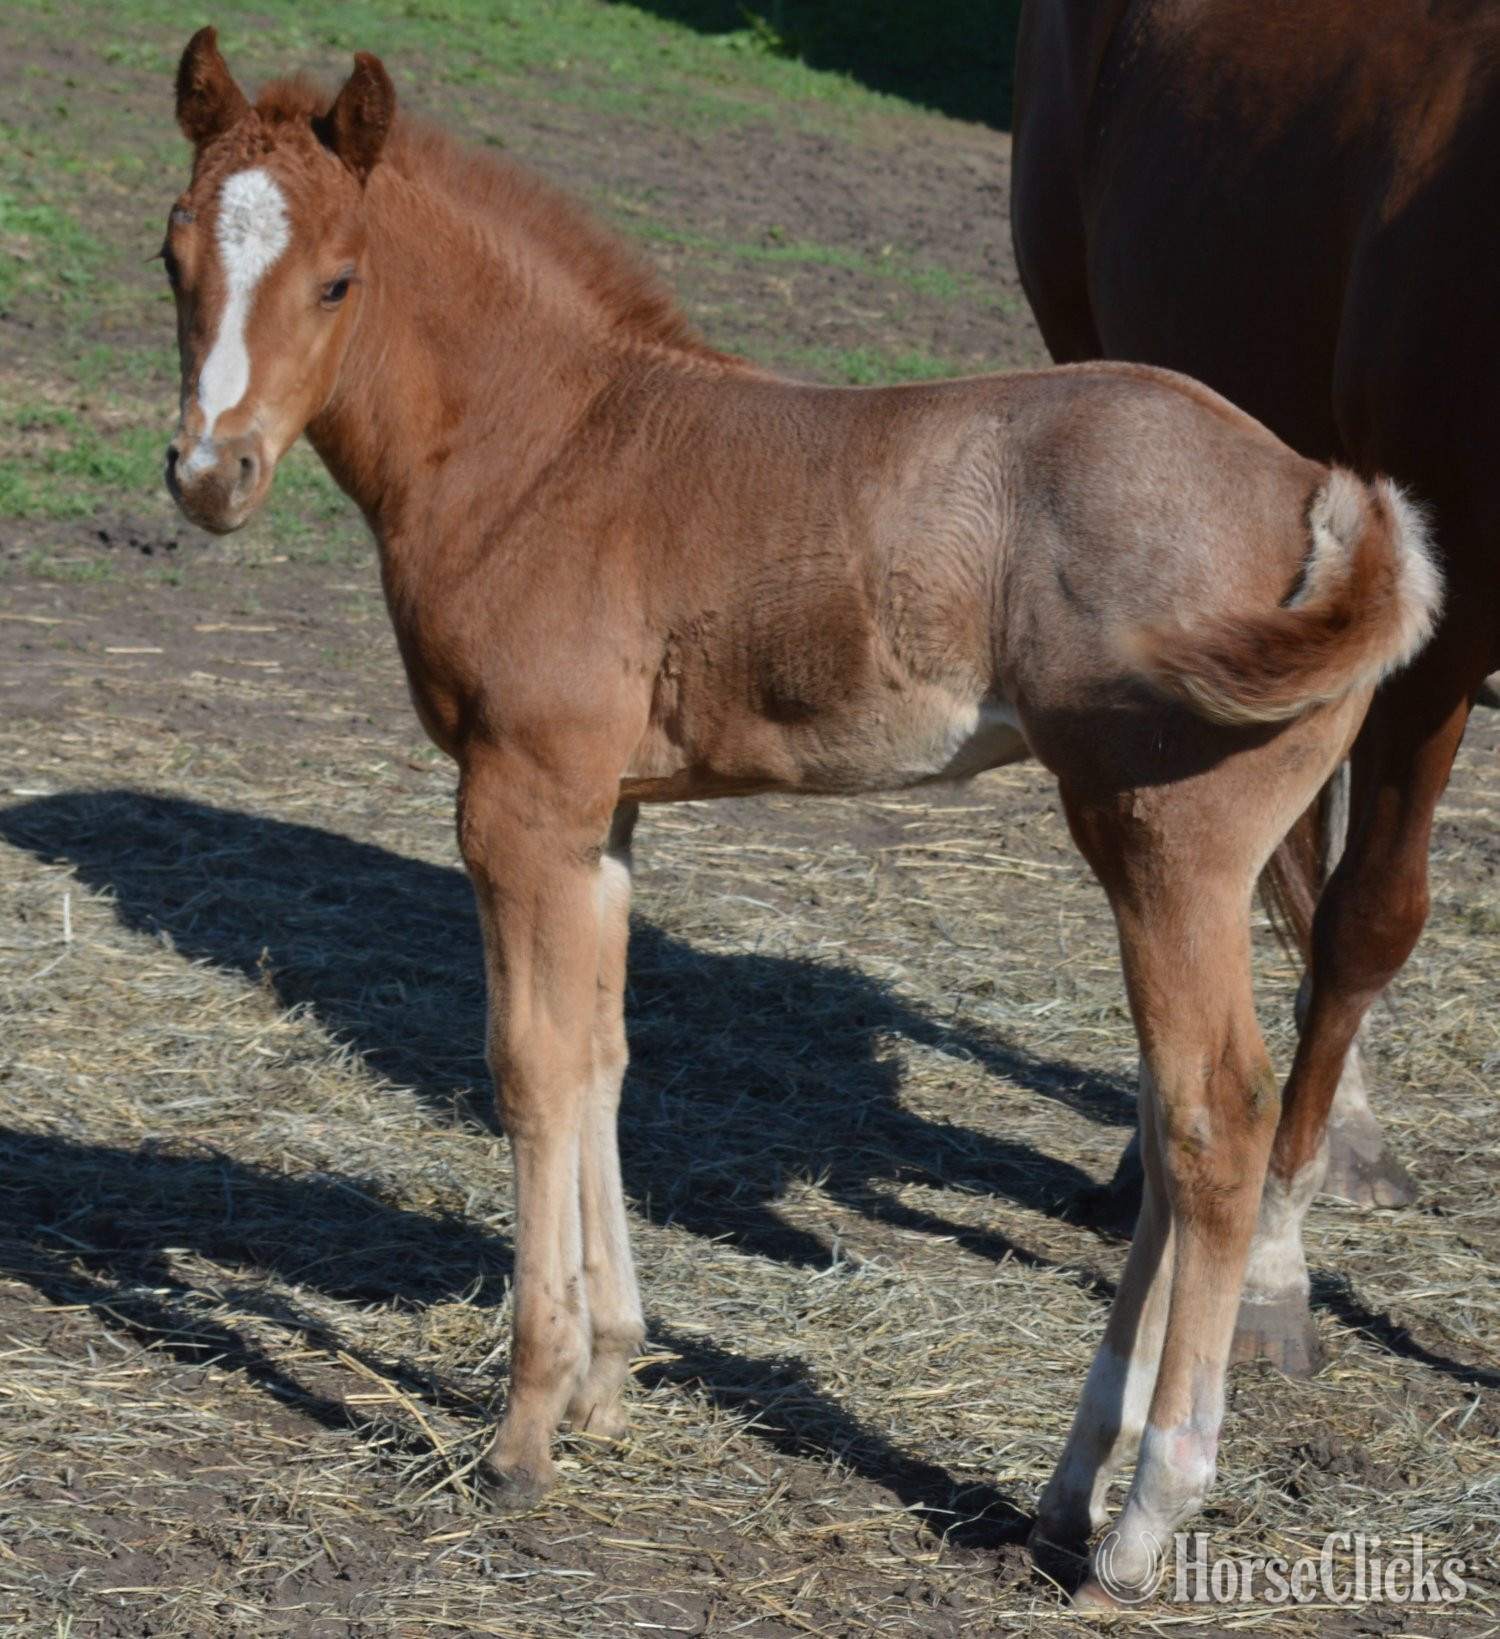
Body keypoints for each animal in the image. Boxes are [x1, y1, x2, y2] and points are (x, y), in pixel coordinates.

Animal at [158, 29, 1439, 1606]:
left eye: (339, 279)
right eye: (173, 256)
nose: (209, 475)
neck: (554, 443)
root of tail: (1331, 498)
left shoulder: (515, 799)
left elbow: (528, 1067)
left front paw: (524, 1429)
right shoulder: (600, 815)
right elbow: (604, 1054)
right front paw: (610, 1374)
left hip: (1166, 846)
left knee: (1214, 1117)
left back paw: (1144, 1520)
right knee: (1167, 1116)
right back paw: (1065, 1487)